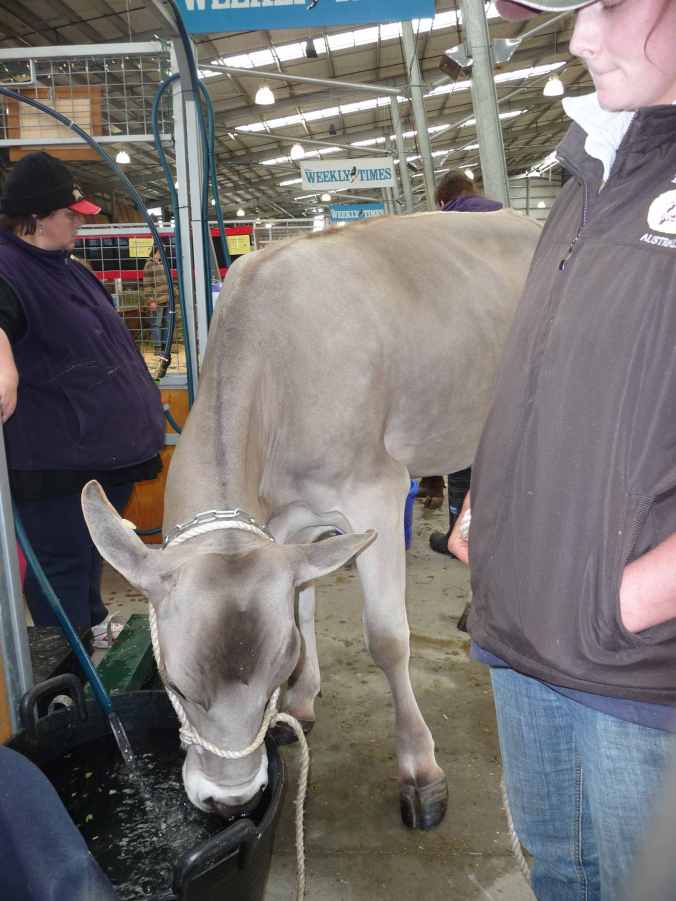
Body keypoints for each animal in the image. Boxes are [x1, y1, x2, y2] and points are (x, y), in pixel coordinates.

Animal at [82, 209, 540, 831]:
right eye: (174, 683)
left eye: (272, 678)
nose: (231, 801)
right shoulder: (285, 525)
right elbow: (301, 607)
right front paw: (301, 705)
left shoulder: (374, 490)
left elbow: (388, 639)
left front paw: (420, 773)